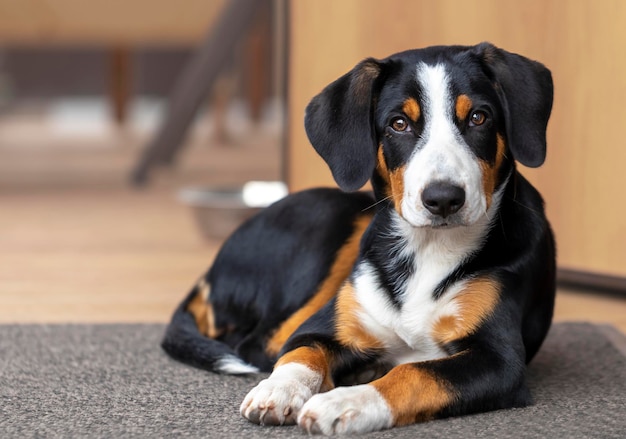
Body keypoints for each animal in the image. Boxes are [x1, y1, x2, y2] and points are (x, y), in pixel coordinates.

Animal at [162, 43, 556, 434]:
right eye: (399, 124)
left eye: (478, 118)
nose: (444, 198)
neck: (427, 249)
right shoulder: (321, 327)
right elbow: (299, 352)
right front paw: (278, 390)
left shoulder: (499, 359)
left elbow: (414, 372)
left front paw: (344, 403)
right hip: (330, 219)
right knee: (258, 342)